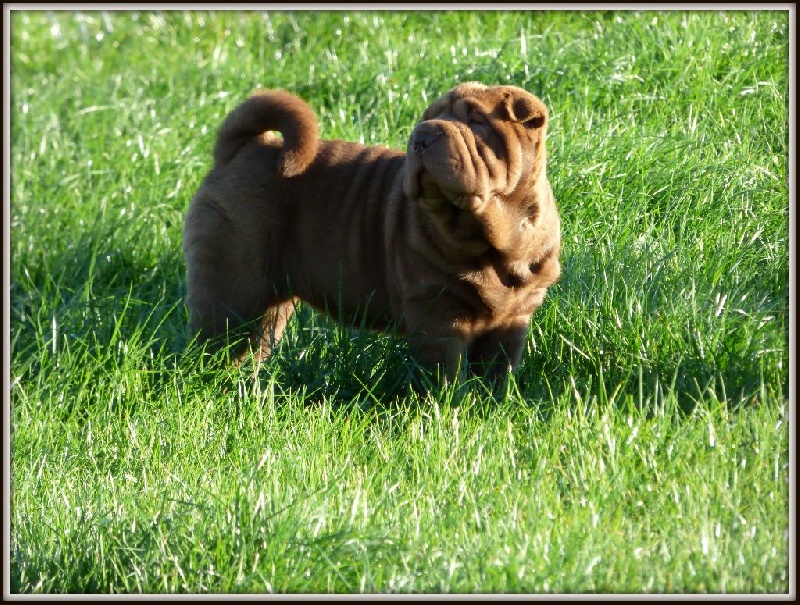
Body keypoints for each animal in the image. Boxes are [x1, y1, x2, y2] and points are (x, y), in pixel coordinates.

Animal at [184, 82, 560, 382]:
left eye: (477, 121)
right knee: (217, 339)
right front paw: (447, 406)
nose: (422, 135)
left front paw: (489, 404)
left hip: (270, 303)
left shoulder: (513, 321)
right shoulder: (439, 315)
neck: (495, 242)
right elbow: (446, 374)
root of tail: (242, 148)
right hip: (233, 287)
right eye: (428, 118)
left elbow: (498, 373)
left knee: (253, 343)